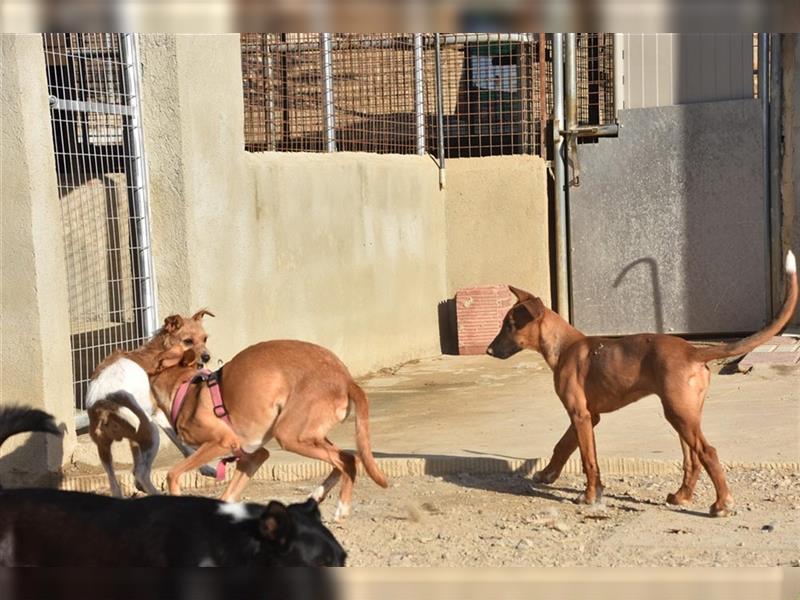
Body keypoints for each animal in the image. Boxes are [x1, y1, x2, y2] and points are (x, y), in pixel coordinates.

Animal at [87, 310, 214, 496]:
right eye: (188, 341)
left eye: (205, 339)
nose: (206, 357)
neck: (159, 353)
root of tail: (102, 404)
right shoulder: (160, 412)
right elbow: (179, 441)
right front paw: (206, 467)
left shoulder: (146, 426)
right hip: (152, 432)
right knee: (142, 472)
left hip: (104, 449)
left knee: (115, 482)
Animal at [152, 342, 390, 520]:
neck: (185, 390)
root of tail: (346, 378)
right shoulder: (253, 457)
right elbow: (226, 497)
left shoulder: (222, 441)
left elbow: (173, 473)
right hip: (311, 436)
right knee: (347, 458)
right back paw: (317, 495)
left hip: (289, 436)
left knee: (346, 460)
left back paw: (342, 508)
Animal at [484, 251, 796, 516]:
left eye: (510, 326)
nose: (487, 350)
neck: (564, 347)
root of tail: (693, 351)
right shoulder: (589, 416)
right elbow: (563, 445)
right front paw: (548, 474)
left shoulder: (580, 414)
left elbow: (587, 459)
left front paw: (589, 496)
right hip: (684, 413)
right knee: (692, 459)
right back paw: (682, 496)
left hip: (679, 412)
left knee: (708, 452)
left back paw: (721, 505)